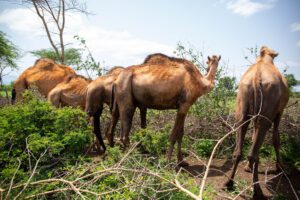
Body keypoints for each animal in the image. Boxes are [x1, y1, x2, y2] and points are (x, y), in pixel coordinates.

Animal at [224, 46, 290, 198]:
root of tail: (256, 77)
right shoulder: (279, 112)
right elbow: (276, 139)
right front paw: (280, 168)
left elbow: (254, 137)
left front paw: (248, 167)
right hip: (267, 112)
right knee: (255, 152)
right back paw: (257, 191)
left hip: (242, 108)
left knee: (239, 149)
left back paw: (229, 183)